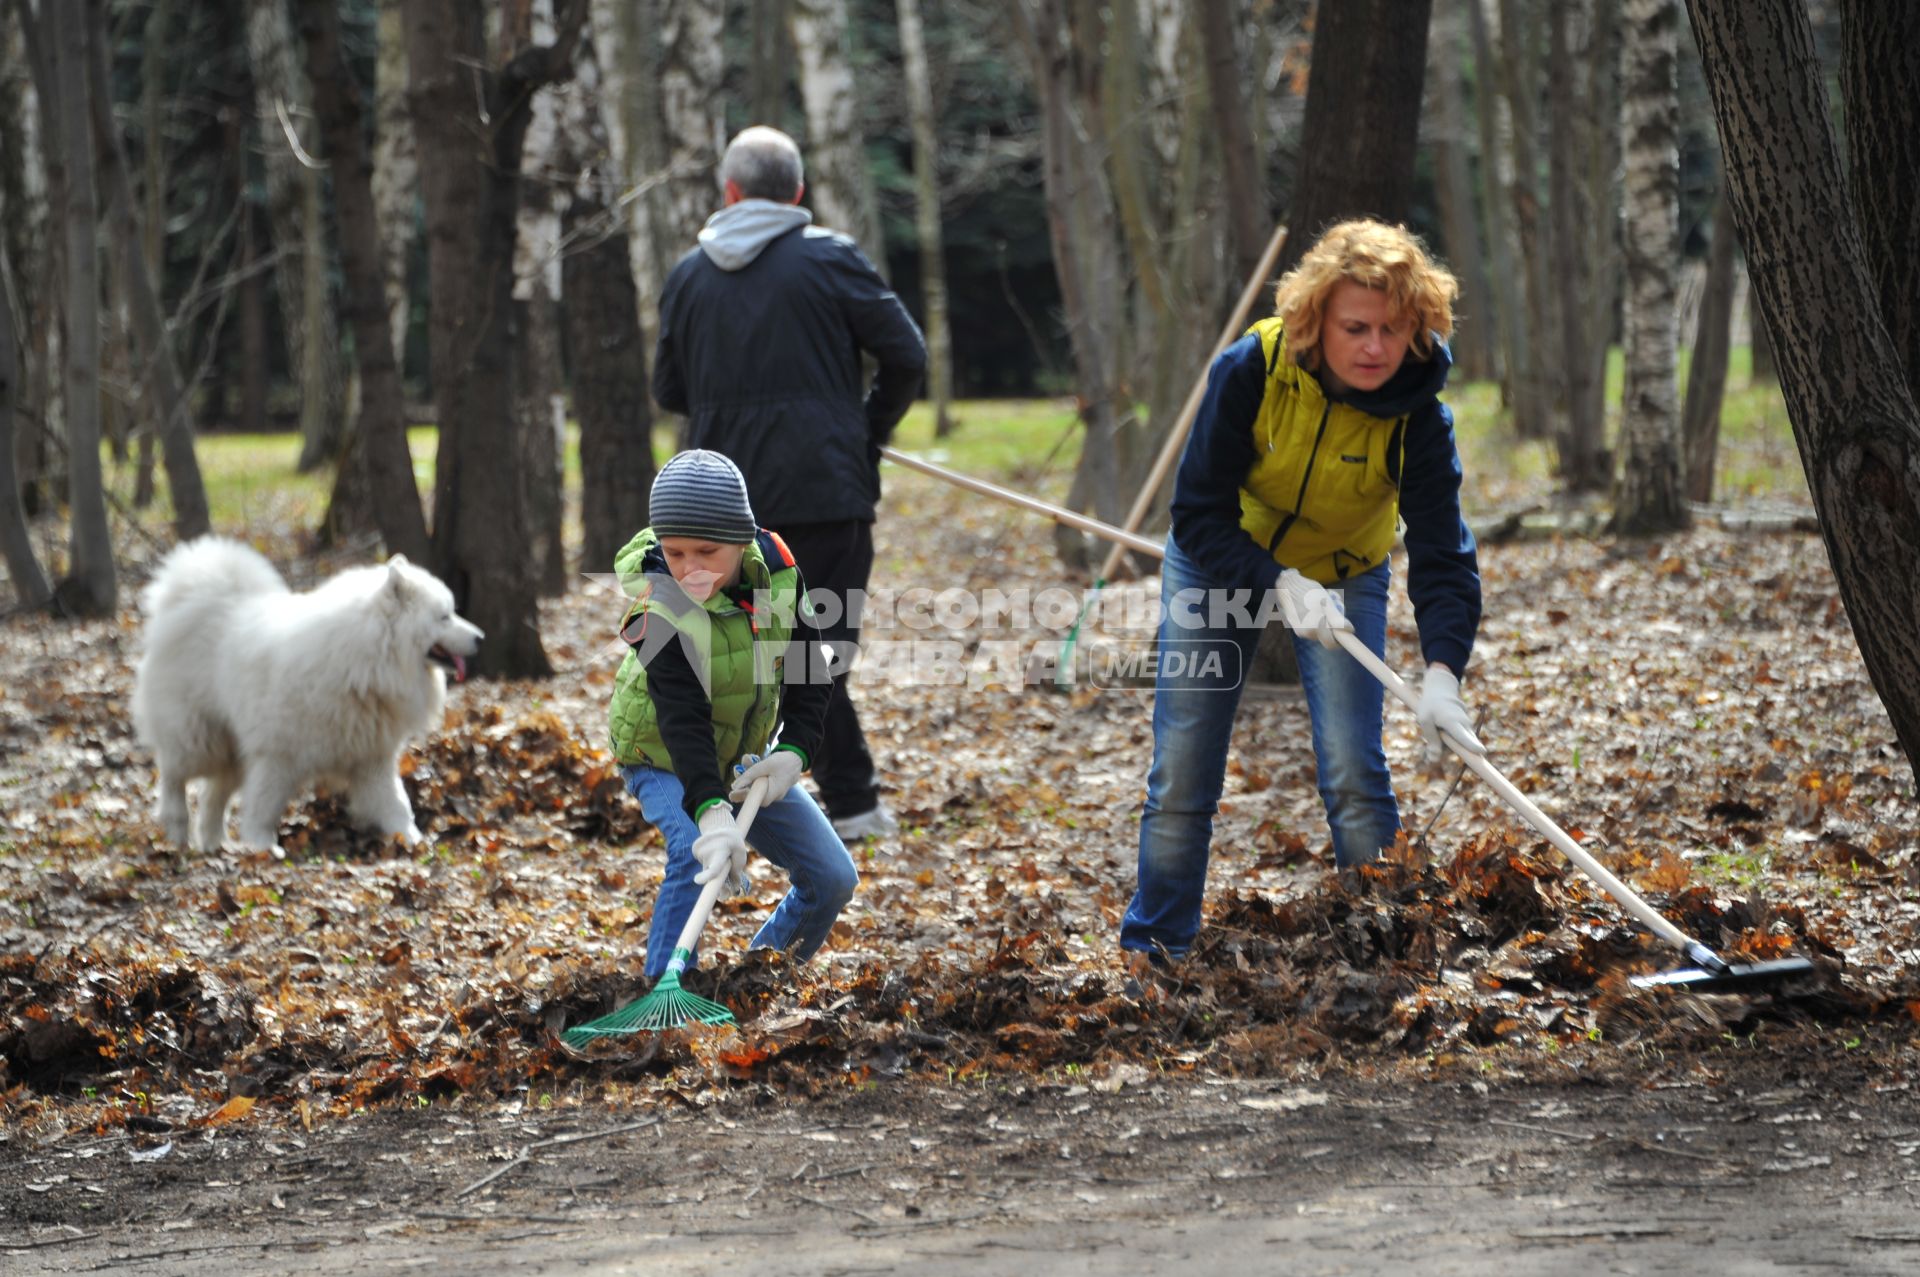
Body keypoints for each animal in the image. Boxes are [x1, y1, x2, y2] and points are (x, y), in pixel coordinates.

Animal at [131, 533, 483, 852]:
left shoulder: (371, 757)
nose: (481, 637)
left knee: (211, 796)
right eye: (444, 616)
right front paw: (261, 845)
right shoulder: (278, 756)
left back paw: (214, 843)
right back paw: (177, 829)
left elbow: (397, 804)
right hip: (198, 737)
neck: (365, 661)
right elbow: (264, 807)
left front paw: (413, 841)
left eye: (452, 611)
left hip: (231, 752)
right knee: (173, 775)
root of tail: (200, 600)